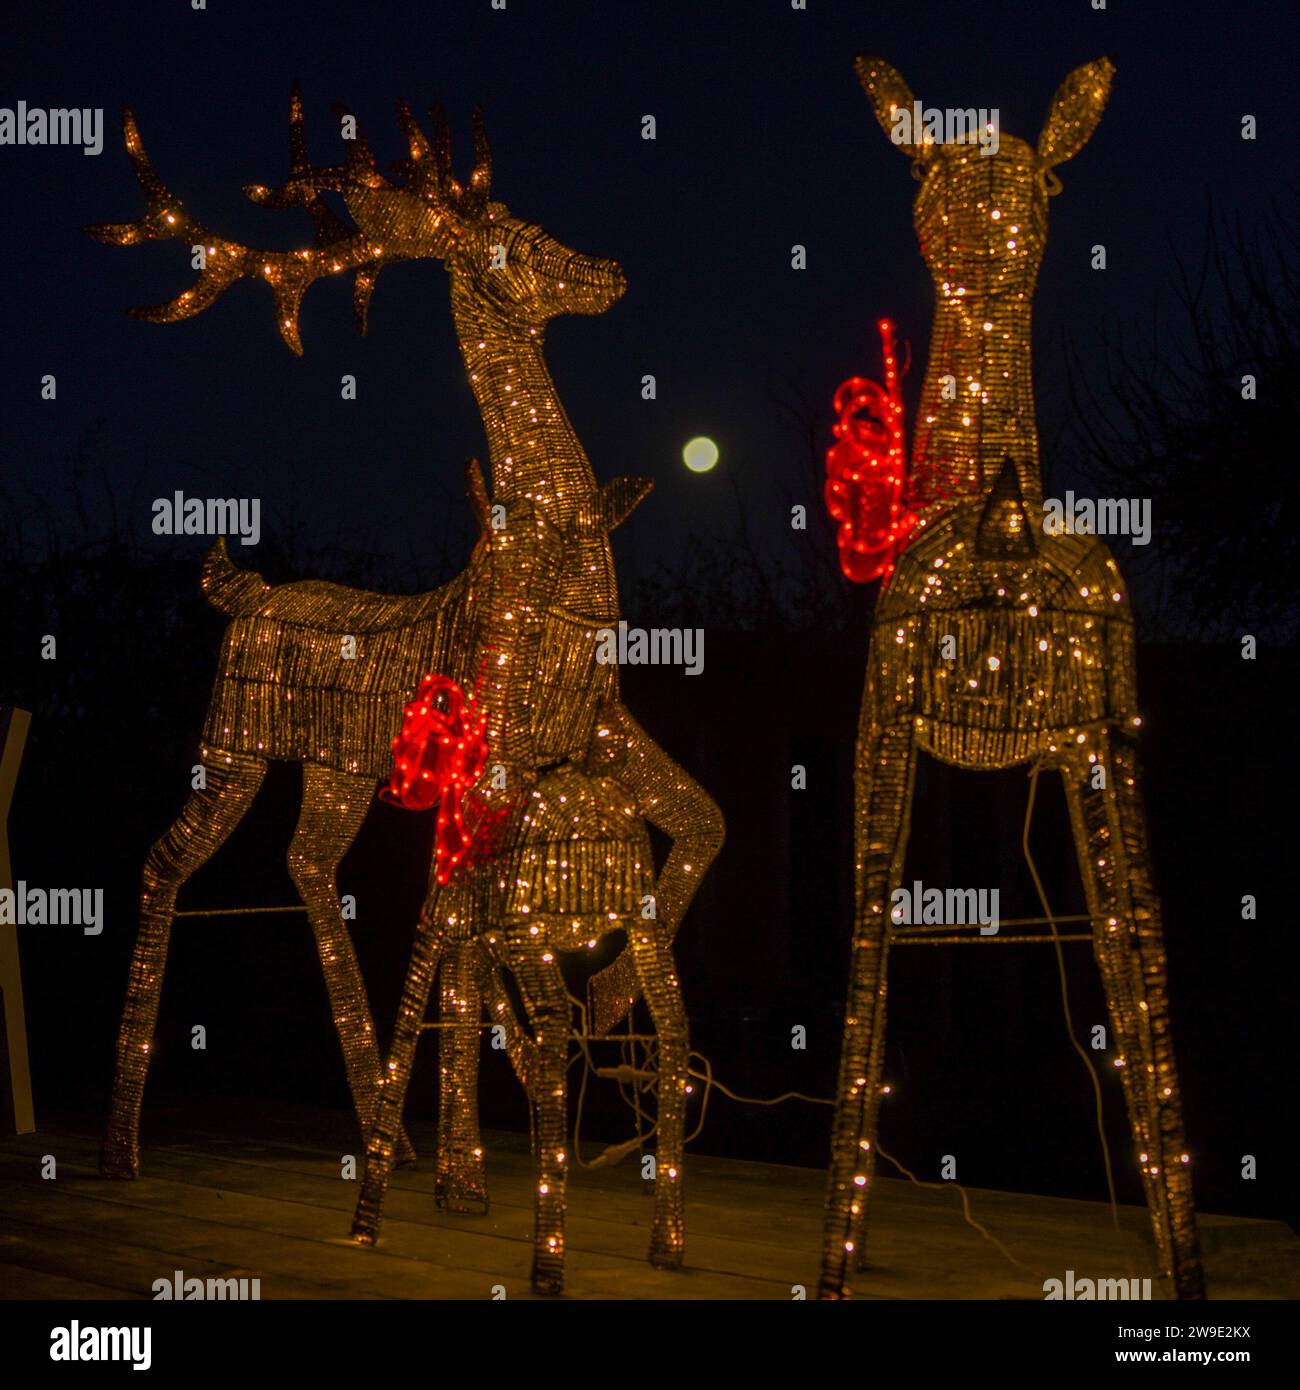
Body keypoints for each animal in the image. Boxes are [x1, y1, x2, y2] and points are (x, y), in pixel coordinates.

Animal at [90, 89, 722, 1289]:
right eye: (514, 242)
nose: (609, 269)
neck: (551, 579)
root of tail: (240, 590)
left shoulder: (595, 729)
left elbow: (701, 822)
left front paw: (594, 1012)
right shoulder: (501, 752)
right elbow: (455, 927)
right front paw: (447, 1175)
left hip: (335, 777)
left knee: (305, 866)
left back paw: (386, 1123)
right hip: (234, 750)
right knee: (163, 863)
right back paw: (124, 1147)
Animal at [828, 56, 1206, 1301]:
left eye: (1030, 181)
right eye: (932, 173)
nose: (969, 218)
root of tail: (1007, 531)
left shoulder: (883, 728)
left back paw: (837, 1262)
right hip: (1106, 743)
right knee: (1142, 957)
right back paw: (1182, 1265)